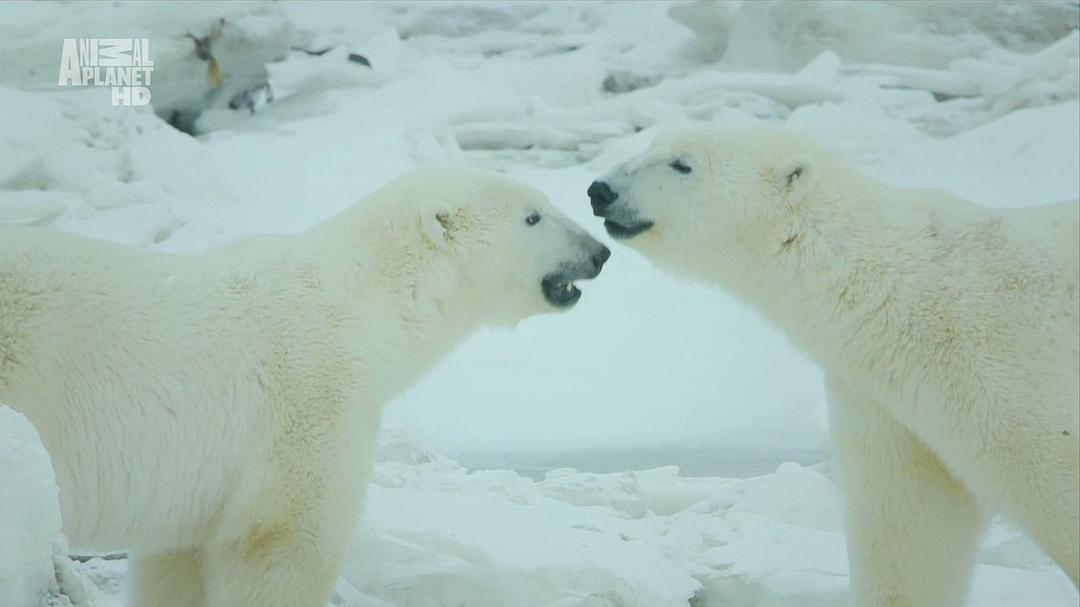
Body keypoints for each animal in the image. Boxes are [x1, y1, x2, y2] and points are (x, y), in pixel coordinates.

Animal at [0, 166, 609, 604]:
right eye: (533, 217)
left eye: (543, 204)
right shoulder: (310, 401)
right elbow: (285, 543)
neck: (366, 306)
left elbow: (175, 564)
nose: (599, 252)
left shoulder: (192, 488)